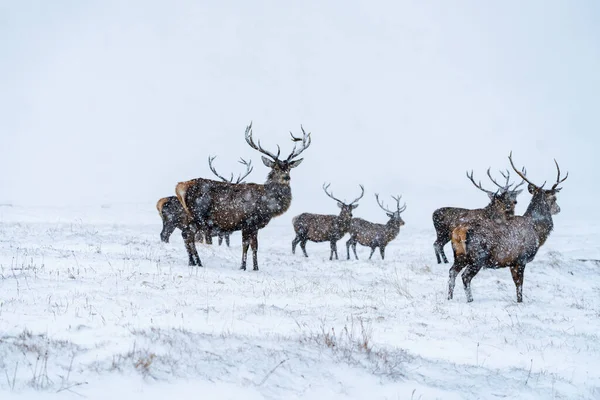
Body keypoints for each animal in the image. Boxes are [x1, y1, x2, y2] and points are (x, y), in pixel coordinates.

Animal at [176, 122, 312, 268]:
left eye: (289, 168)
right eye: (275, 168)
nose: (286, 177)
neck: (267, 206)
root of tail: (181, 186)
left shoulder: (254, 226)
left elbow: (255, 246)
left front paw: (256, 268)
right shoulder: (248, 221)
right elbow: (245, 245)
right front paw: (243, 266)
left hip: (192, 216)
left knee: (186, 235)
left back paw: (192, 262)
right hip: (198, 214)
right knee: (187, 234)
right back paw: (197, 262)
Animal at [450, 153, 568, 304]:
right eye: (554, 199)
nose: (558, 209)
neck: (537, 232)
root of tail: (459, 231)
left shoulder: (512, 261)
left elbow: (516, 284)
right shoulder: (521, 258)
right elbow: (520, 285)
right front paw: (520, 302)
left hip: (459, 255)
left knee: (452, 272)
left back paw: (449, 297)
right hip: (478, 256)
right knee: (465, 276)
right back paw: (470, 300)